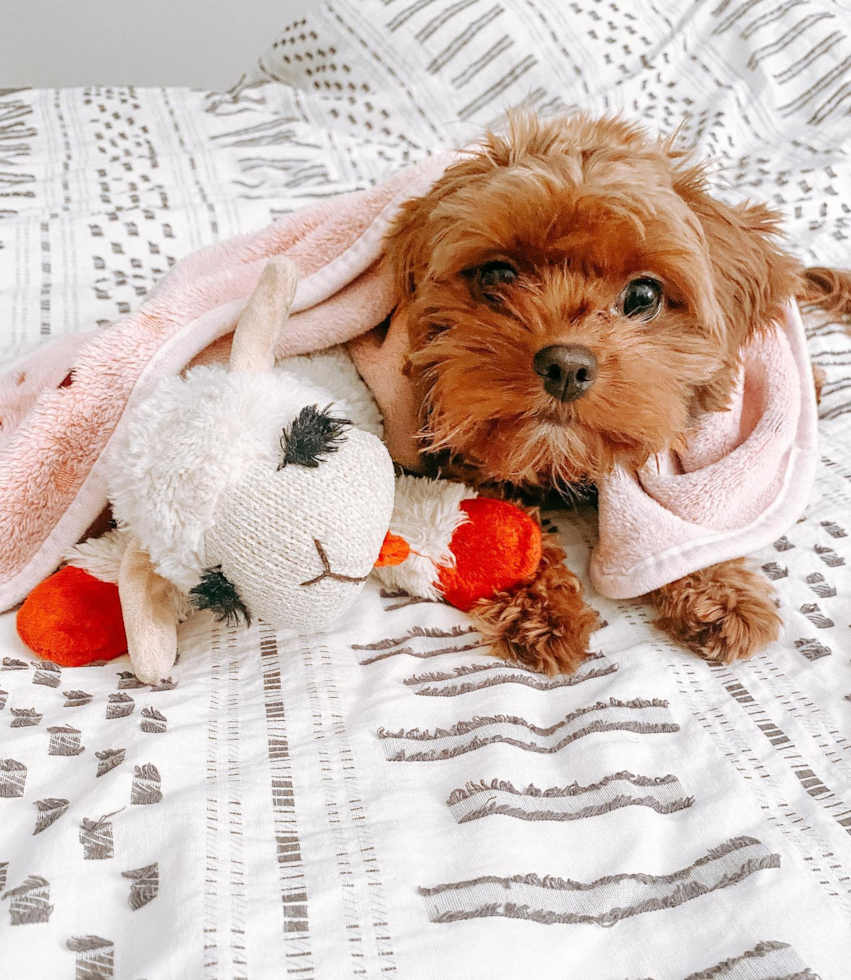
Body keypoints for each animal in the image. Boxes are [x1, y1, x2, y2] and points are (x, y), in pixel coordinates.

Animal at [388, 109, 851, 672]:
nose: (566, 365)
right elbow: (499, 522)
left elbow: (686, 527)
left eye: (643, 295)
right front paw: (540, 608)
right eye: (497, 274)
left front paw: (717, 591)